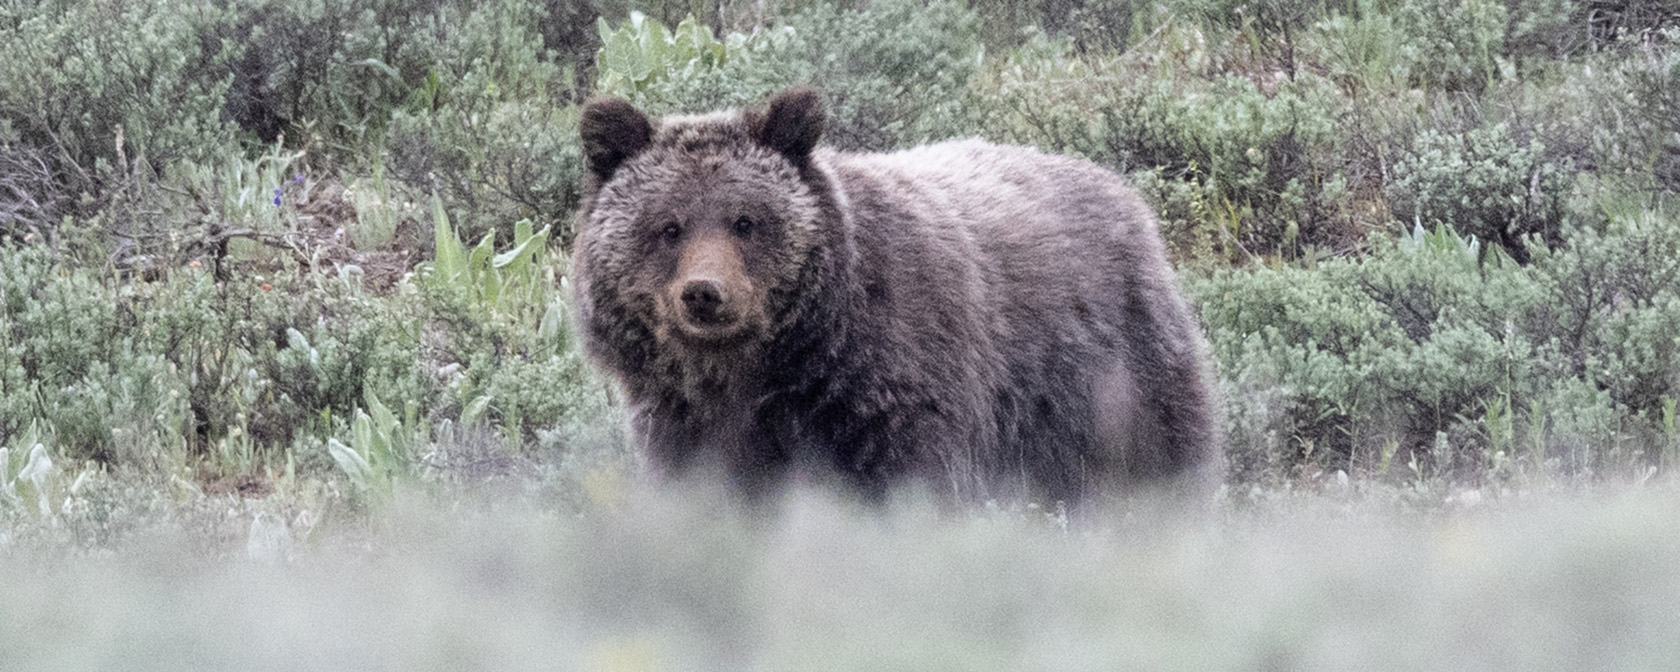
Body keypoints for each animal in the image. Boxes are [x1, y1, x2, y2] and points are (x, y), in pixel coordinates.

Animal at [571, 88, 1220, 507]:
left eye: (746, 221)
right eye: (669, 226)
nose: (705, 293)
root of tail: (1121, 190)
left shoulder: (898, 387)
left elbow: (917, 481)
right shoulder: (686, 424)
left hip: (1105, 377)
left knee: (1160, 462)